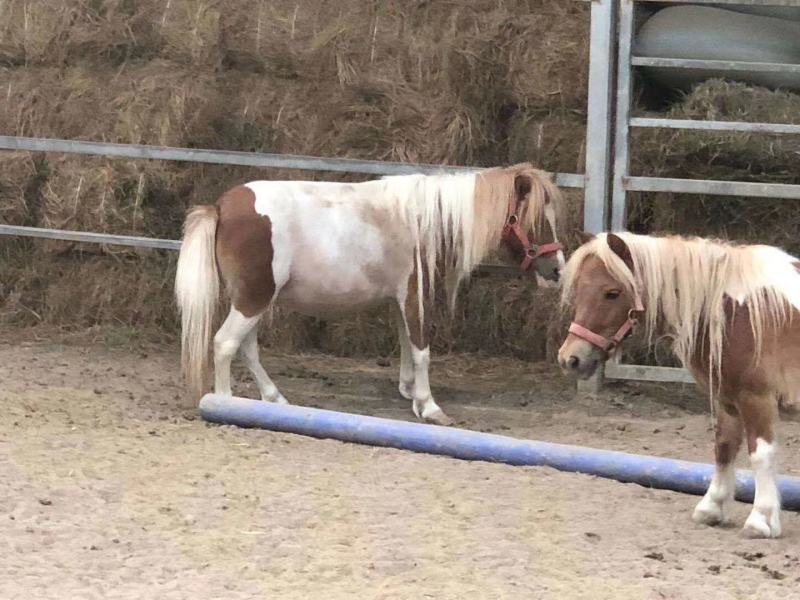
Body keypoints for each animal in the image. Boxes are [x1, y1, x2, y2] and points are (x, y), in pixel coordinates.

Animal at [175, 163, 565, 426]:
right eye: (533, 220)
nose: (558, 270)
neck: (425, 221)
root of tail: (222, 207)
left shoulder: (400, 299)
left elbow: (406, 343)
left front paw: (411, 393)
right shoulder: (414, 295)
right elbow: (421, 350)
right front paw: (430, 406)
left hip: (254, 301)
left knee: (247, 348)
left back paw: (275, 399)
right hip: (253, 299)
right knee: (226, 344)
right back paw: (226, 403)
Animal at [558, 231, 800, 538]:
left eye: (612, 293)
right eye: (578, 289)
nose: (570, 359)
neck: (740, 312)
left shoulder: (757, 398)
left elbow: (761, 454)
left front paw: (761, 520)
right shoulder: (725, 397)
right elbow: (724, 447)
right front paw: (712, 507)